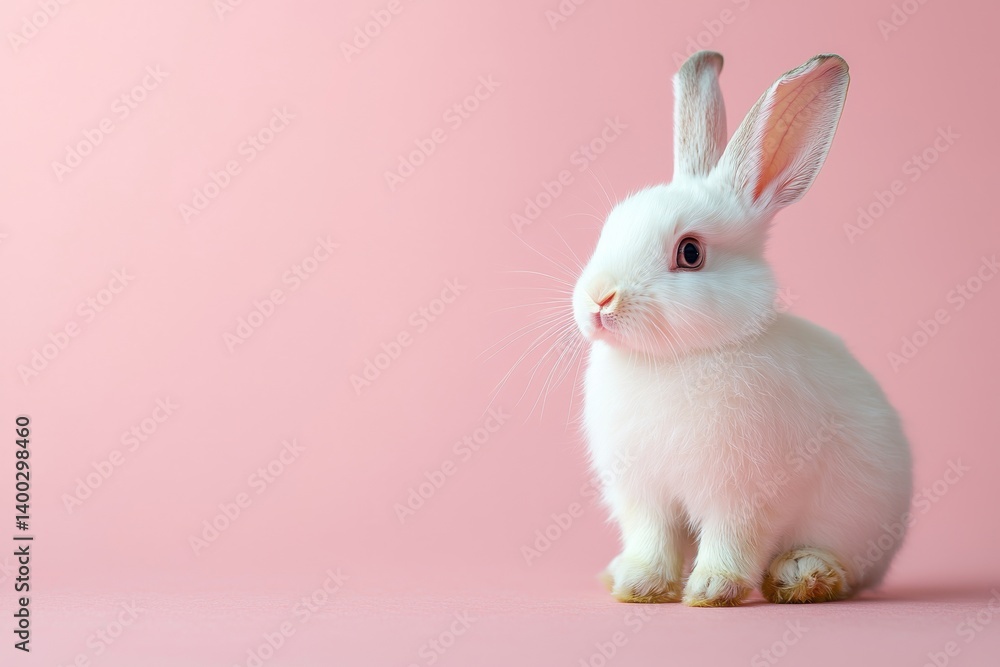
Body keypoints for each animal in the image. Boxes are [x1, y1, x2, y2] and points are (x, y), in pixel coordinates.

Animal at [571, 51, 912, 606]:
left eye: (690, 253)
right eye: (609, 228)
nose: (599, 299)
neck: (678, 358)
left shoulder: (745, 495)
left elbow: (733, 539)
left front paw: (713, 589)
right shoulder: (644, 495)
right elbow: (652, 539)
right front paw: (640, 585)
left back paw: (806, 575)